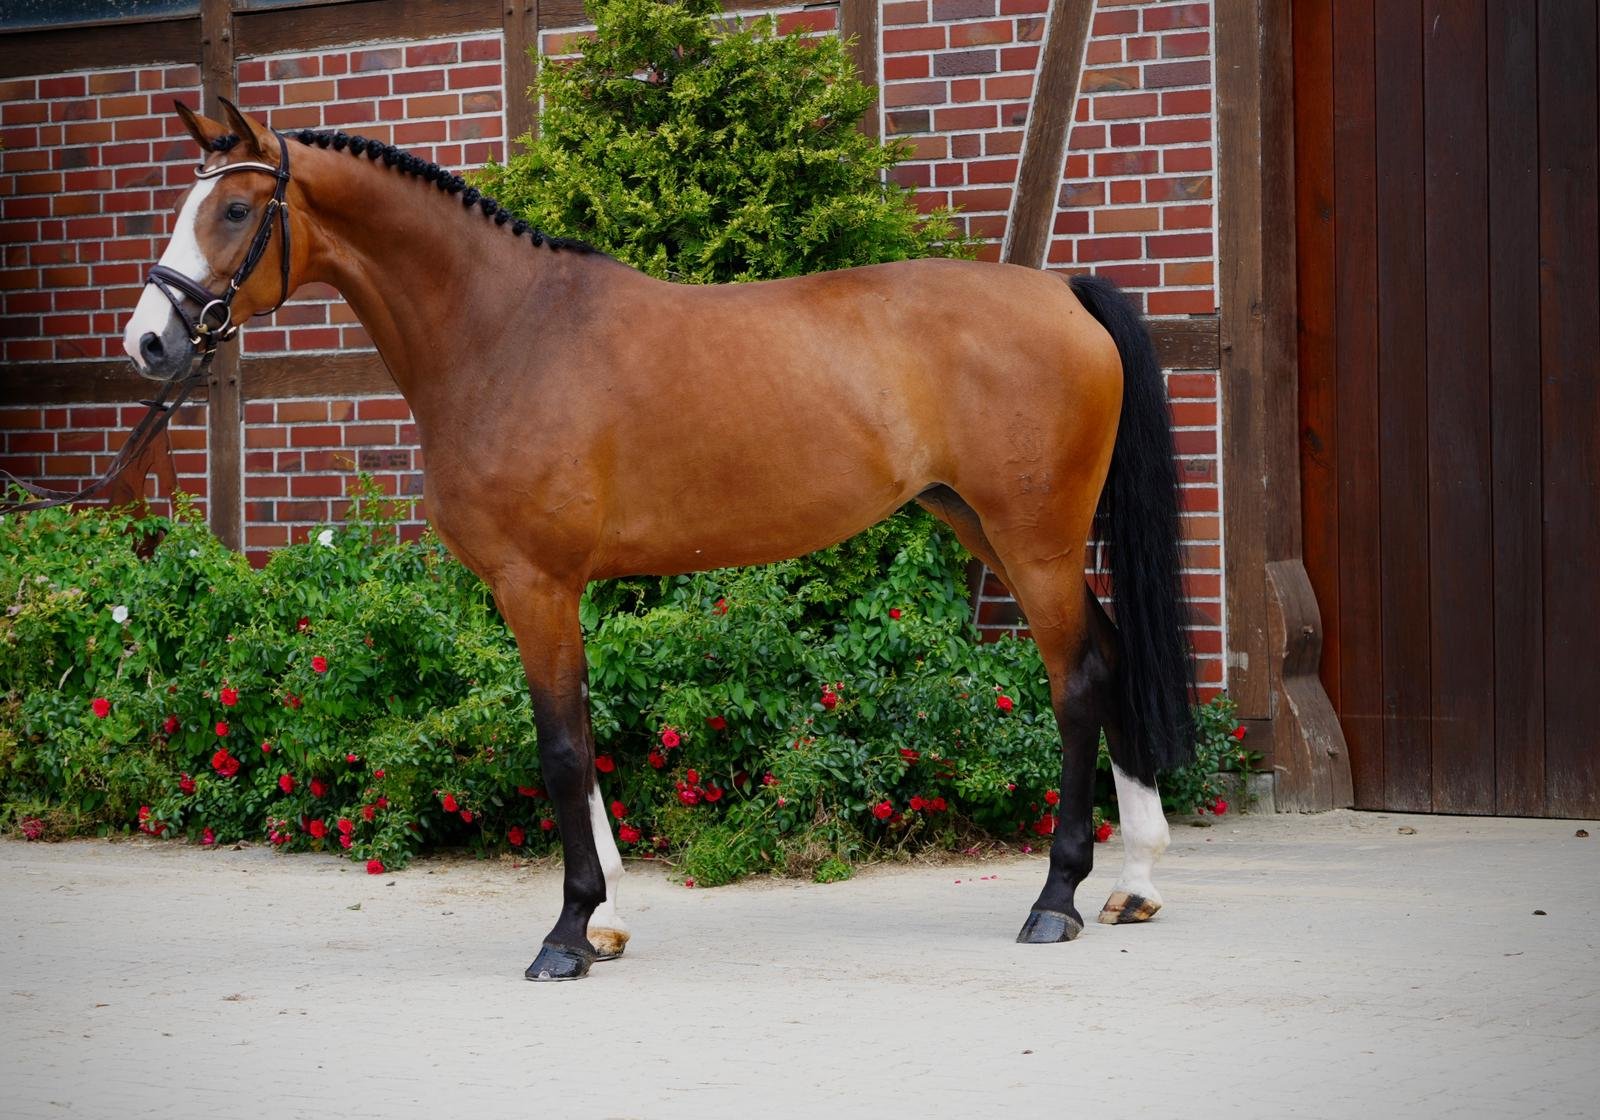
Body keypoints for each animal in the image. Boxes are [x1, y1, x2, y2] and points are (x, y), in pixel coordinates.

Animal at [121, 99, 1196, 981]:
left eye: (233, 211)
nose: (150, 343)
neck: (505, 333)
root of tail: (1061, 293)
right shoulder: (549, 589)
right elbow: (583, 739)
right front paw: (604, 923)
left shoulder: (536, 583)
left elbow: (559, 748)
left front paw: (565, 936)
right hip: (991, 527)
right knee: (1112, 656)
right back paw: (1136, 882)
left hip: (1035, 540)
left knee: (1076, 684)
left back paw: (1055, 901)